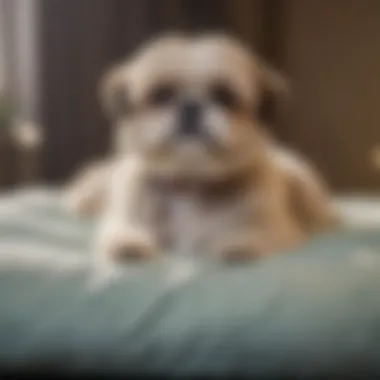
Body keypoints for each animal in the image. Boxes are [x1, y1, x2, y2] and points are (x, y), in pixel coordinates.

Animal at [62, 33, 338, 262]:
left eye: (224, 96)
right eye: (162, 94)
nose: (191, 105)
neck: (192, 183)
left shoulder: (275, 227)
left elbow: (257, 234)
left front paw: (239, 243)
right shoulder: (127, 210)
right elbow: (123, 228)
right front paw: (130, 242)